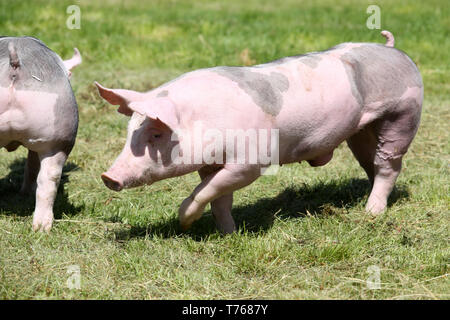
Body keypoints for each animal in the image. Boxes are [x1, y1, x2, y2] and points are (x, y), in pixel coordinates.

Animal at [96, 30, 422, 235]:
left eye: (156, 134)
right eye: (130, 131)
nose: (108, 176)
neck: (204, 118)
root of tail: (394, 51)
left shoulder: (251, 162)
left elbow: (208, 190)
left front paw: (185, 222)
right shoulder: (210, 163)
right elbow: (218, 197)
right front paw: (229, 234)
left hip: (403, 114)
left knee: (389, 164)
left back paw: (371, 213)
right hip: (361, 130)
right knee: (370, 163)